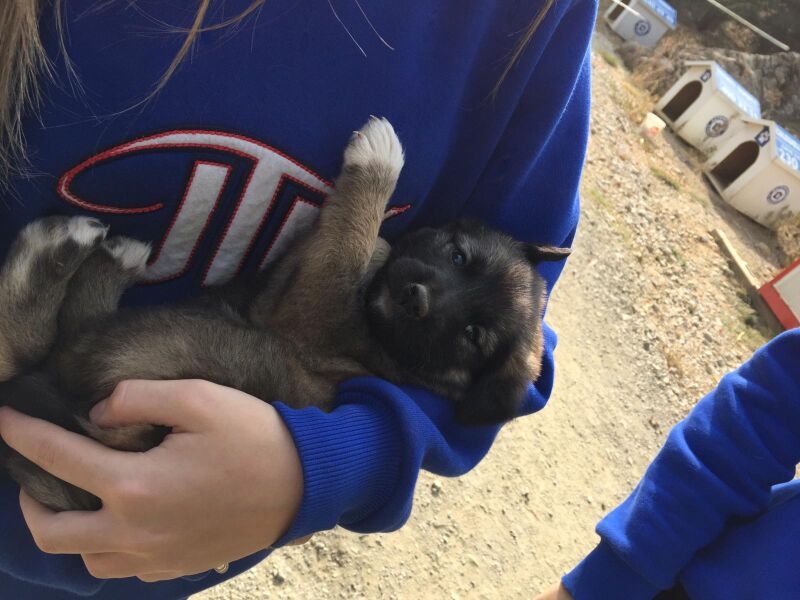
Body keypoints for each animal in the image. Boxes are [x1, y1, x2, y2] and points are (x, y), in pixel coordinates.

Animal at [0, 118, 568, 510]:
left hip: (165, 350)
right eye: (458, 256)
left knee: (48, 340)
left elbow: (347, 250)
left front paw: (379, 164)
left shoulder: (307, 308)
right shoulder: (292, 281)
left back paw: (83, 251)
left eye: (473, 335)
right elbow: (361, 246)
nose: (416, 297)